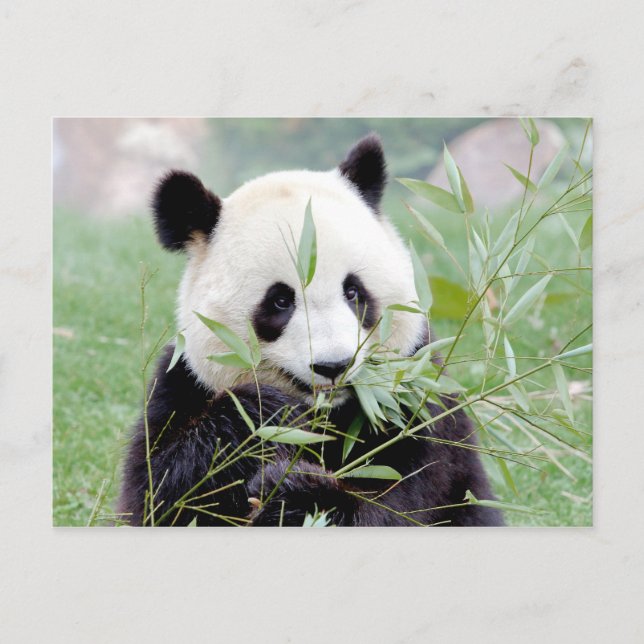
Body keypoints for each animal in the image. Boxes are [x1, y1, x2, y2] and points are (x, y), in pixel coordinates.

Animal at [118, 134, 503, 527]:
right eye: (280, 302)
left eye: (353, 292)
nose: (334, 366)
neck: (331, 416)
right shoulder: (183, 385)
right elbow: (161, 492)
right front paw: (267, 415)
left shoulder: (421, 403)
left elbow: (404, 504)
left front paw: (296, 493)